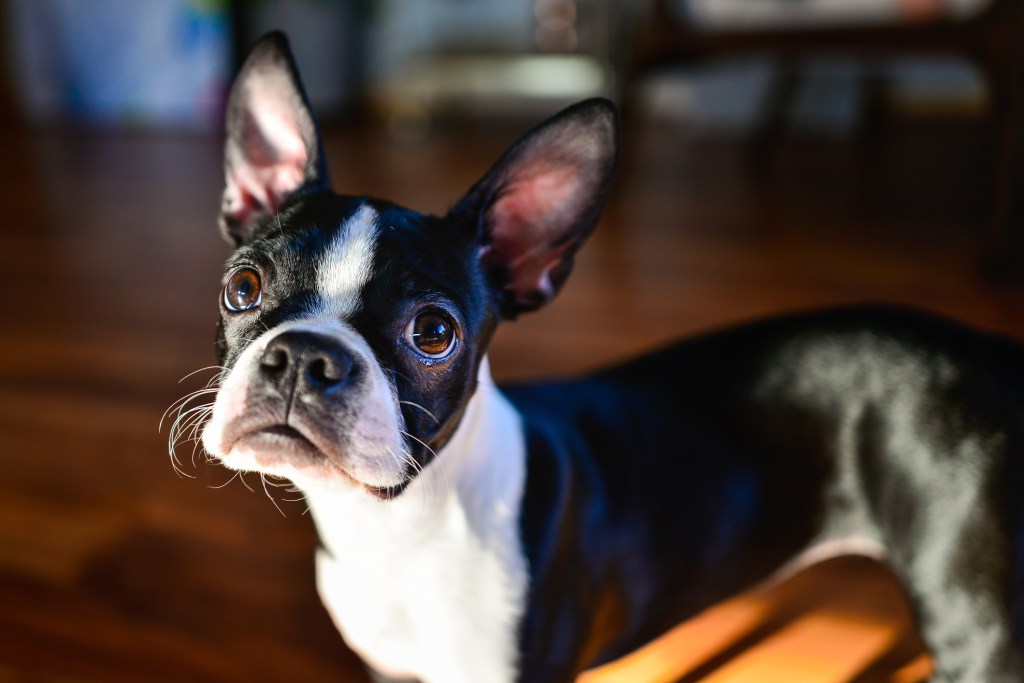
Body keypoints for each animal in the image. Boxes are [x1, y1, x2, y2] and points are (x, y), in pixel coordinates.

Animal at [190, 33, 1024, 683]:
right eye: (242, 286)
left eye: (433, 332)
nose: (307, 354)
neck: (400, 525)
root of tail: (987, 349)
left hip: (977, 629)